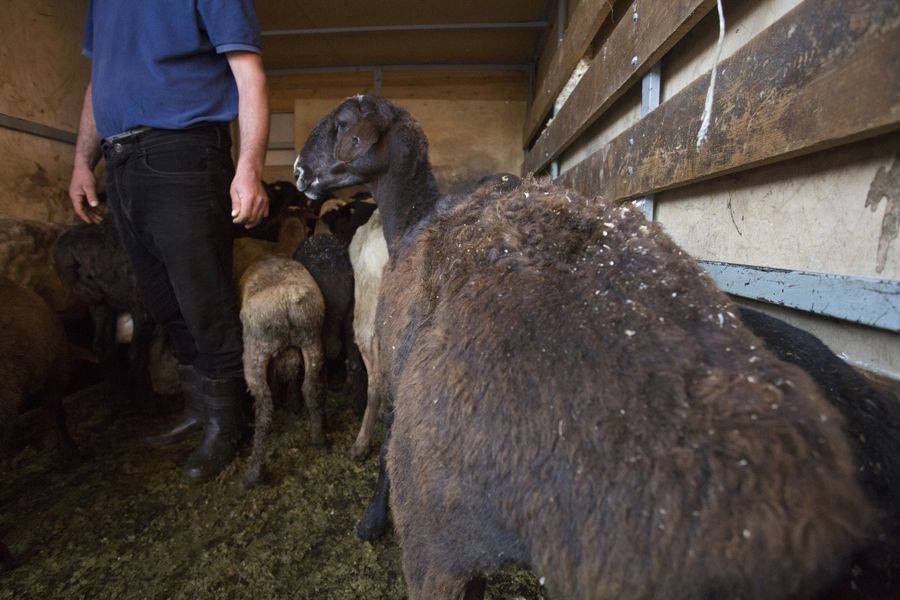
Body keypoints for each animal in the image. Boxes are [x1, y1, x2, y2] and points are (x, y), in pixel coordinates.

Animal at [298, 94, 876, 600]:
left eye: (343, 121)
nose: (301, 170)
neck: (410, 219)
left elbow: (382, 444)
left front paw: (370, 520)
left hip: (439, 527)